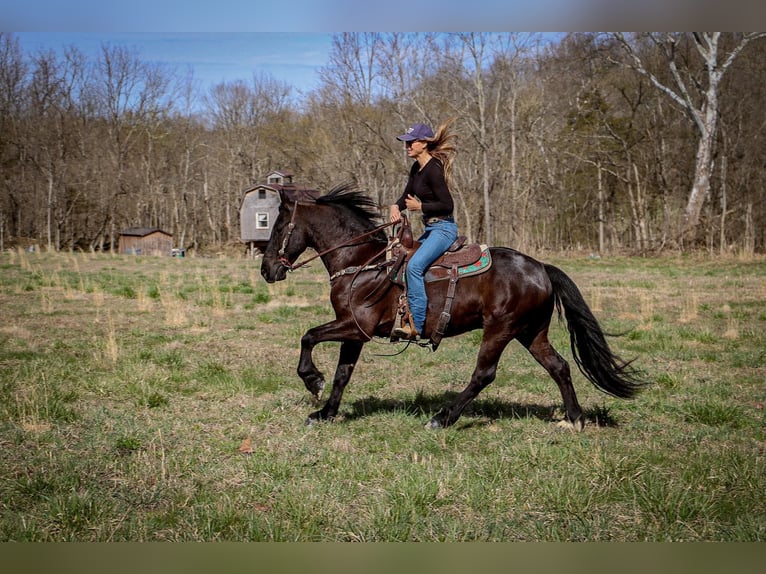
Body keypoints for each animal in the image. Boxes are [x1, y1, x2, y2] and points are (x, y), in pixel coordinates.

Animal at [260, 182, 644, 430]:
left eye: (278, 227)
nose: (267, 270)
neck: (362, 263)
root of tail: (540, 268)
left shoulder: (356, 327)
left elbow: (308, 336)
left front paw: (312, 380)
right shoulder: (354, 332)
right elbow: (343, 374)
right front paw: (325, 413)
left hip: (500, 330)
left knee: (484, 375)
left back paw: (442, 417)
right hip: (531, 333)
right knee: (559, 367)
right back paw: (575, 418)